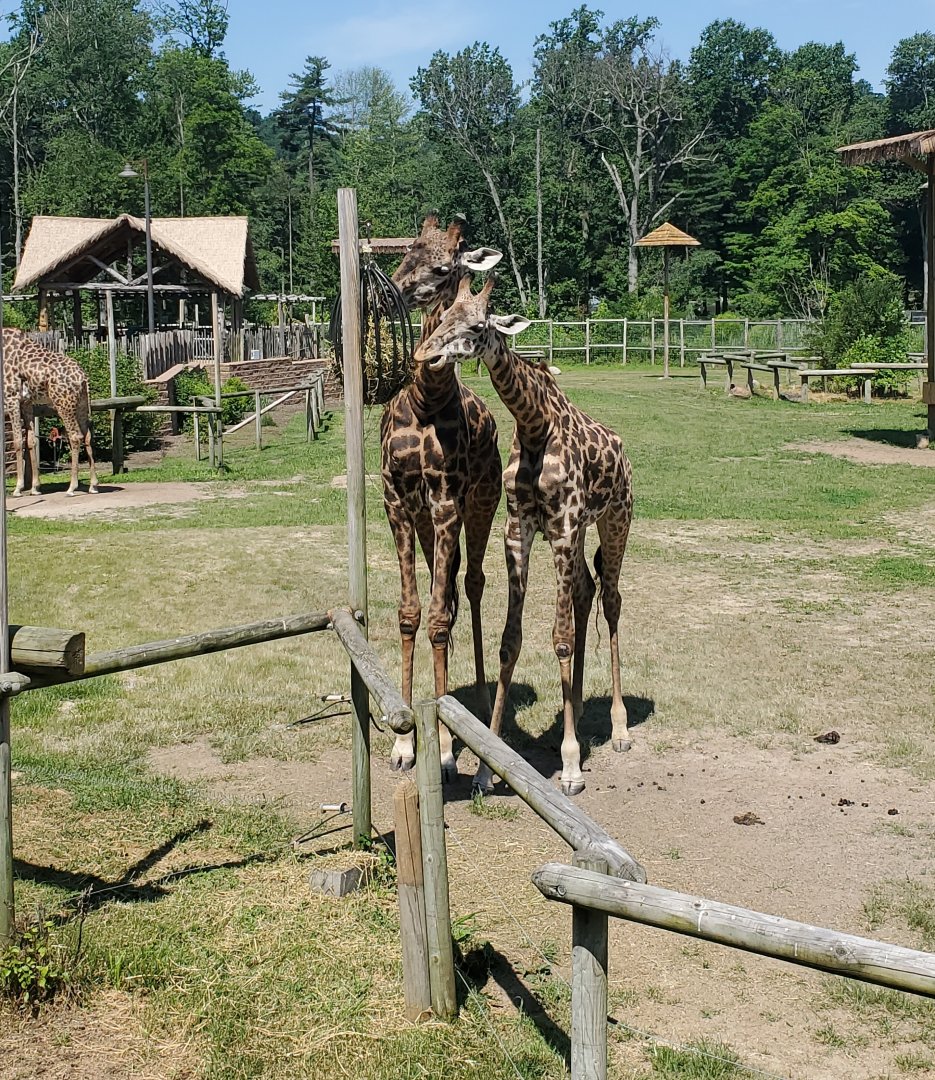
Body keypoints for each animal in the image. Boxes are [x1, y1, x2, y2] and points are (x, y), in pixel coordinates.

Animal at [2, 328, 99, 498]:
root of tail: (84, 378)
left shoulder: (11, 397)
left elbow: (18, 441)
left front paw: (18, 488)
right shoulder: (26, 402)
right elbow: (31, 441)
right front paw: (35, 488)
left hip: (63, 404)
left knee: (75, 436)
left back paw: (71, 488)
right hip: (81, 405)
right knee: (87, 436)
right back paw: (93, 485)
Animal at [414, 276, 634, 796]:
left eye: (476, 326)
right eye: (444, 316)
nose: (425, 354)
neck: (535, 424)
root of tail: (624, 452)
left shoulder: (565, 525)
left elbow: (560, 638)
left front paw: (571, 766)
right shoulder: (521, 527)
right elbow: (510, 640)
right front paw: (486, 768)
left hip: (615, 519)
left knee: (612, 599)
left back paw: (619, 729)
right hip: (580, 534)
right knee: (586, 591)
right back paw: (578, 701)